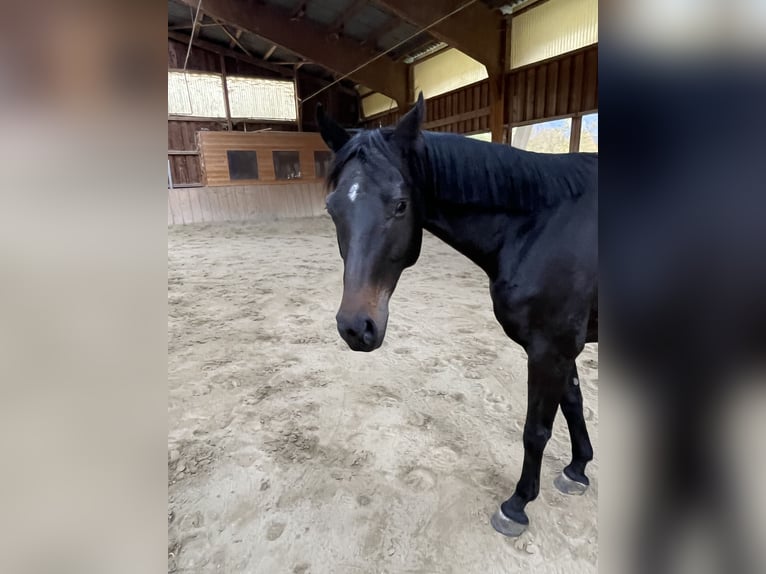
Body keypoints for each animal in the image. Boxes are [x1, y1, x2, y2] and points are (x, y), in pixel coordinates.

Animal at [316, 93, 598, 537]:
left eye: (401, 205)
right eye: (332, 208)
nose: (355, 328)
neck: (541, 225)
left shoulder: (549, 348)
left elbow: (535, 430)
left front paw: (517, 504)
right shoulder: (563, 347)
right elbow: (573, 402)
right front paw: (578, 468)